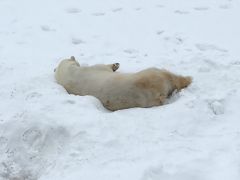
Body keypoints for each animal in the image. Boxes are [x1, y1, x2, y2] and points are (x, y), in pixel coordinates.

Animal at [54, 56, 191, 110]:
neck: (70, 74)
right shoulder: (94, 69)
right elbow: (105, 67)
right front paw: (115, 65)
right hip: (152, 76)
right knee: (168, 76)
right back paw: (187, 79)